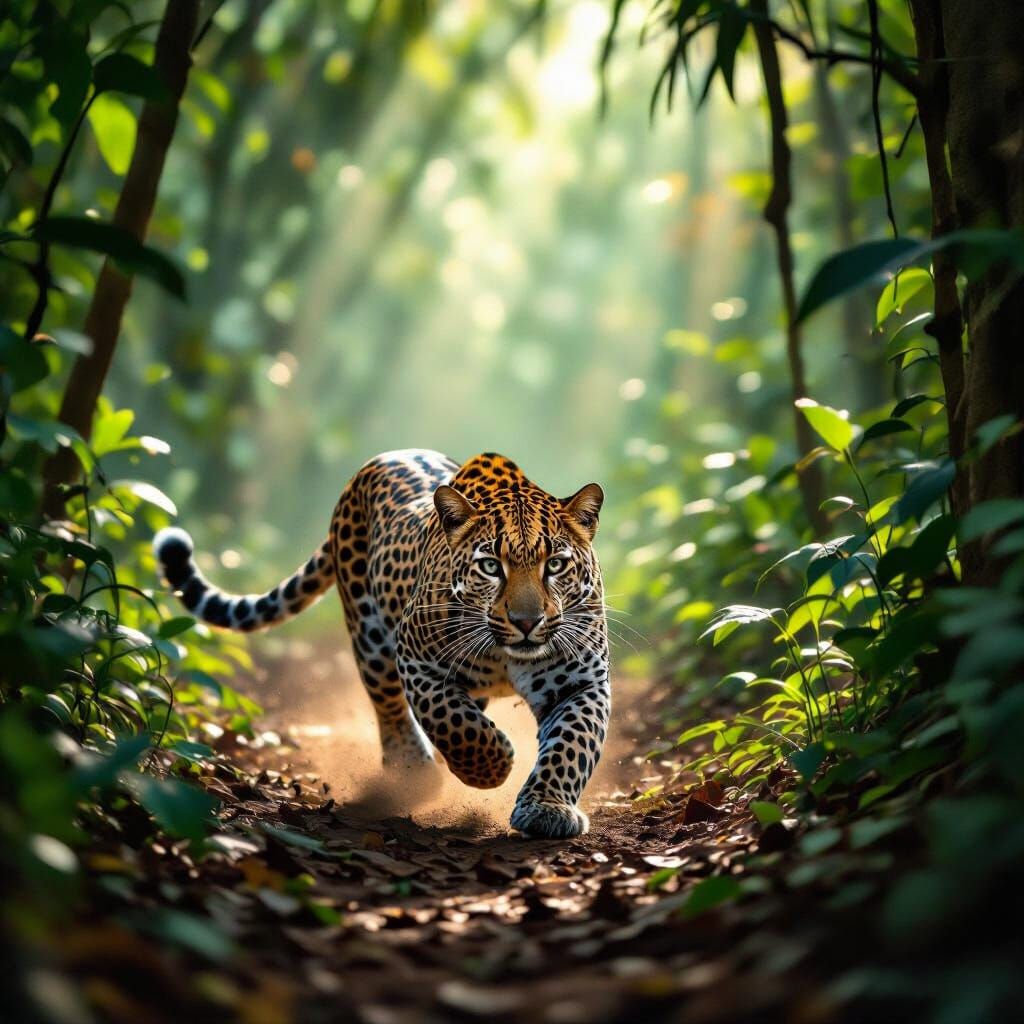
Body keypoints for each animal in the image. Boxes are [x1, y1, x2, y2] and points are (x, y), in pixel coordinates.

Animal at [154, 450, 610, 839]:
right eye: (490, 566)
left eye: (555, 564)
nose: (527, 622)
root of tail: (377, 461)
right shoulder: (416, 657)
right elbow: (451, 720)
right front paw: (491, 766)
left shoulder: (580, 682)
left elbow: (572, 743)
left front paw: (547, 808)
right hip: (370, 635)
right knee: (389, 705)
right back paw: (413, 771)